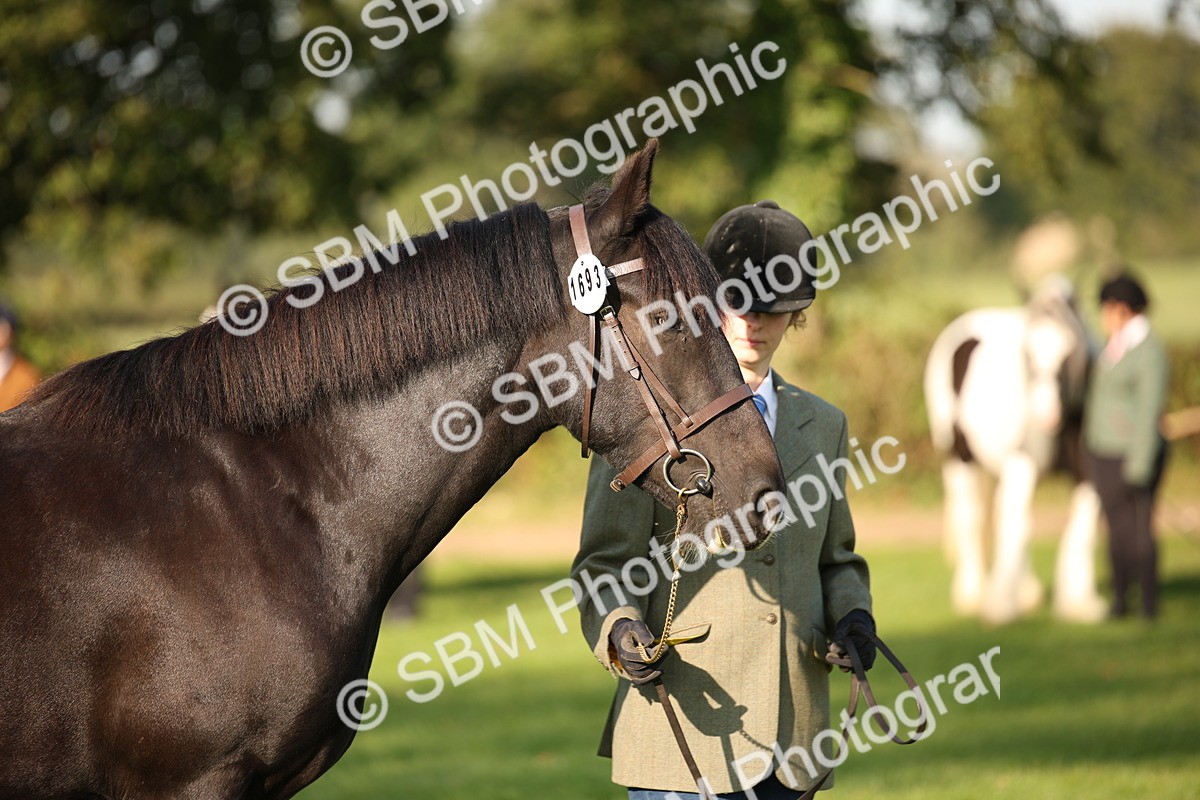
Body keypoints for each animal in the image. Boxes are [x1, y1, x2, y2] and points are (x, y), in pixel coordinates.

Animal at [924, 275, 1107, 625]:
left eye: (1069, 353)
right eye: (1027, 353)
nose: (1044, 414)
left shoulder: (1090, 470)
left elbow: (1084, 523)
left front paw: (1079, 602)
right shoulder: (1023, 462)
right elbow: (1016, 524)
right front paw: (1000, 605)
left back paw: (1026, 592)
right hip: (958, 456)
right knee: (973, 515)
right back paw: (973, 593)